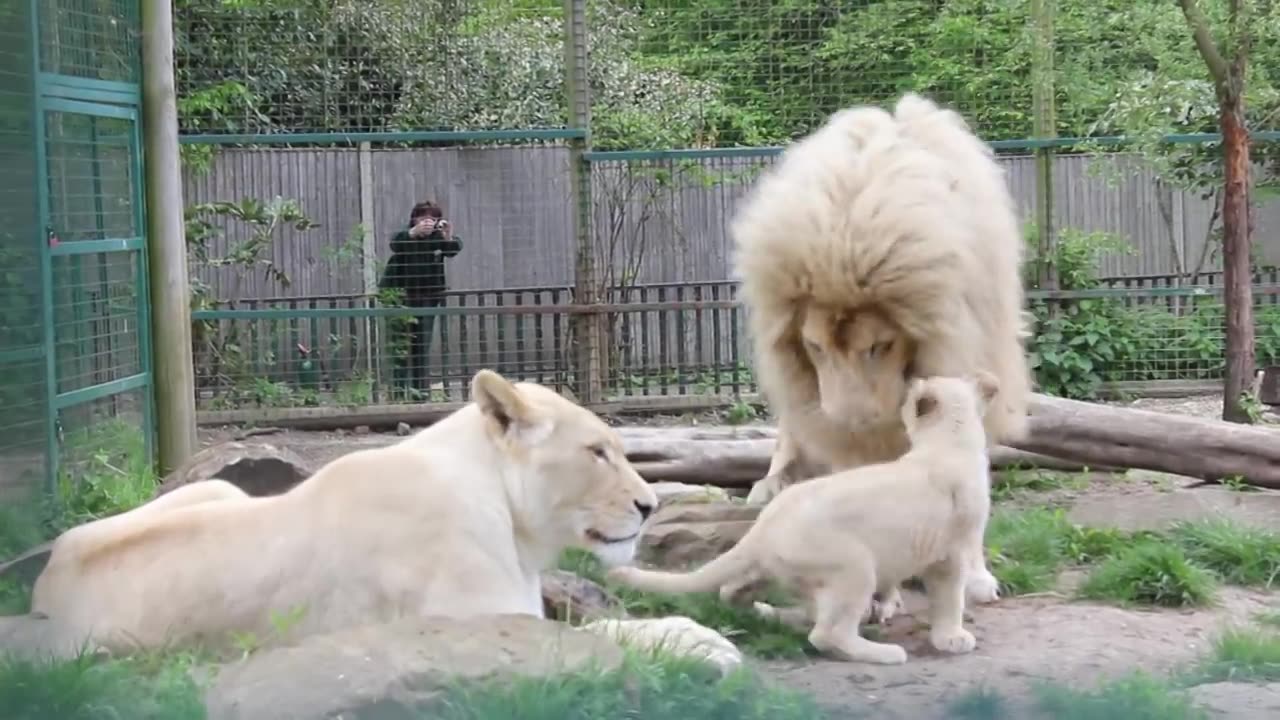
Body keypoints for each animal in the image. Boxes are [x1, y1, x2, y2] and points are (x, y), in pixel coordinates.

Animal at [5, 366, 660, 653]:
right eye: (597, 451)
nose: (651, 505)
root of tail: (46, 585)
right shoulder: (481, 620)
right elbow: (620, 637)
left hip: (220, 493)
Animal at [606, 371, 998, 666]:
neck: (950, 441)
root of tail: (763, 527)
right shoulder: (952, 550)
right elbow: (950, 597)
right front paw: (953, 638)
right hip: (854, 567)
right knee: (825, 633)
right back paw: (885, 652)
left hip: (773, 571)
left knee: (735, 593)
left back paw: (768, 613)